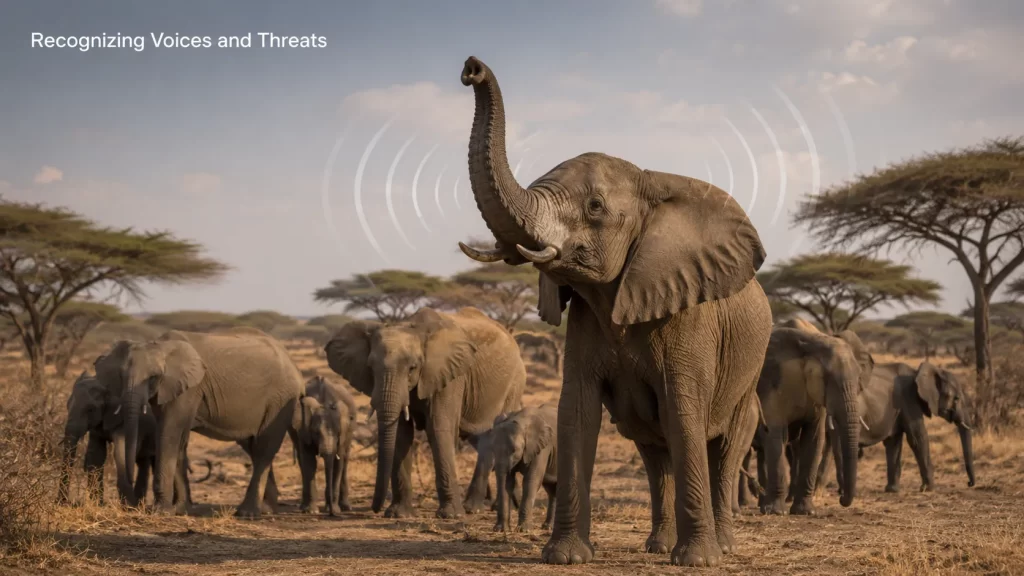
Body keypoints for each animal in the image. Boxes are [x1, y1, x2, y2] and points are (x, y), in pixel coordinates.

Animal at [109, 327, 305, 518]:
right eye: (120, 376)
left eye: (153, 377)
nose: (134, 503)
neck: (161, 345)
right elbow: (179, 441)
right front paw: (180, 510)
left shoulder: (188, 389)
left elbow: (169, 433)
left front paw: (160, 511)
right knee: (253, 447)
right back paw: (267, 509)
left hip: (280, 400)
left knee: (265, 447)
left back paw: (248, 513)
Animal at [294, 375, 356, 516]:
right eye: (316, 433)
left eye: (338, 432)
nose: (331, 513)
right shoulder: (304, 430)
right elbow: (309, 461)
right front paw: (311, 511)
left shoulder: (344, 433)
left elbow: (338, 463)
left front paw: (336, 509)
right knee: (301, 460)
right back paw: (303, 506)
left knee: (345, 461)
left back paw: (346, 507)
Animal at [324, 306, 526, 519]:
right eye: (370, 368)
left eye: (412, 368)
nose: (375, 509)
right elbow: (401, 435)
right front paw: (399, 514)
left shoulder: (450, 375)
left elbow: (438, 428)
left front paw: (451, 516)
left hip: (514, 385)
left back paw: (475, 508)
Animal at [457, 56, 772, 567]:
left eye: (595, 206)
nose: (472, 69)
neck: (654, 183)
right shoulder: (586, 319)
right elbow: (577, 411)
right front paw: (565, 557)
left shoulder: (690, 317)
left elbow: (685, 412)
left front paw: (697, 562)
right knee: (654, 451)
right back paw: (658, 545)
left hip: (751, 372)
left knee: (723, 448)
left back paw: (722, 546)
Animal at [817, 360, 976, 496]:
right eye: (957, 398)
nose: (969, 483)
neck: (918, 372)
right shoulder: (909, 400)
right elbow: (917, 438)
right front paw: (929, 489)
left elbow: (893, 443)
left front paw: (892, 490)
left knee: (831, 445)